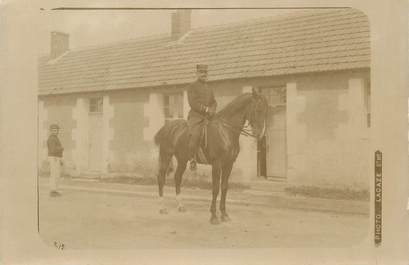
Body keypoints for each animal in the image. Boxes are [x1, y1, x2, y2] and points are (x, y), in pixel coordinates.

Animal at [153, 88, 268, 223]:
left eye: (266, 110)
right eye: (258, 109)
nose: (260, 134)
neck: (225, 131)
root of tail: (167, 126)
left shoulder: (229, 164)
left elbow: (224, 187)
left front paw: (224, 214)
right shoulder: (217, 164)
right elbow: (215, 188)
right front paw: (213, 216)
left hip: (182, 159)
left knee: (177, 178)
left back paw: (180, 206)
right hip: (166, 156)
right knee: (161, 178)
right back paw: (162, 208)